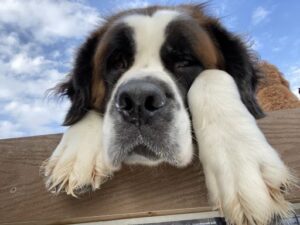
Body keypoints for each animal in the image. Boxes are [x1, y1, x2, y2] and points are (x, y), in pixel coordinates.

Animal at [42, 3, 296, 225]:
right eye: (117, 63)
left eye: (184, 62)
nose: (138, 99)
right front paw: (76, 153)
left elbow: (212, 76)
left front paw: (239, 162)